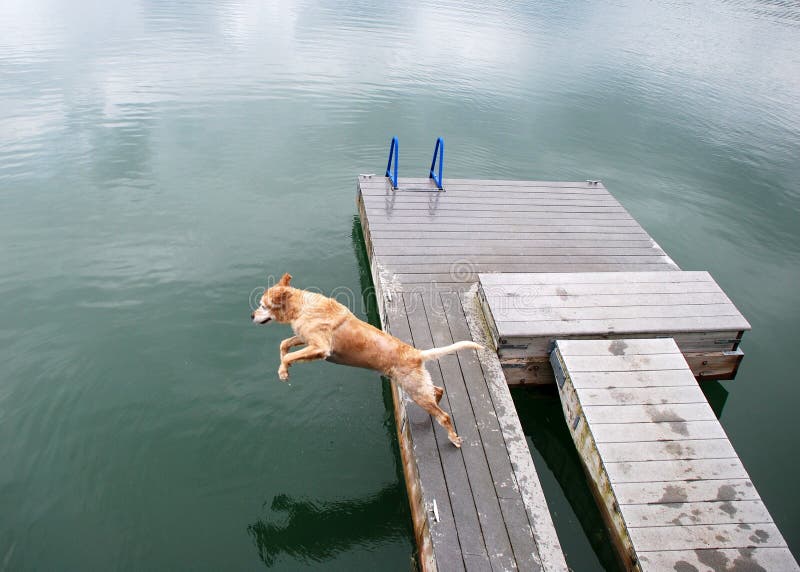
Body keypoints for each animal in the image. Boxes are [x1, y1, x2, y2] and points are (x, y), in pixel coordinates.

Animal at [253, 274, 482, 446]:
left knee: (443, 415)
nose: (251, 316)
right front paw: (284, 367)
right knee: (438, 391)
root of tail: (416, 353)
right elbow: (284, 344)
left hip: (414, 389)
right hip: (416, 385)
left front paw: (283, 371)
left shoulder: (320, 347)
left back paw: (454, 438)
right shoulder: (305, 338)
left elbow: (289, 353)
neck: (300, 307)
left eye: (263, 306)